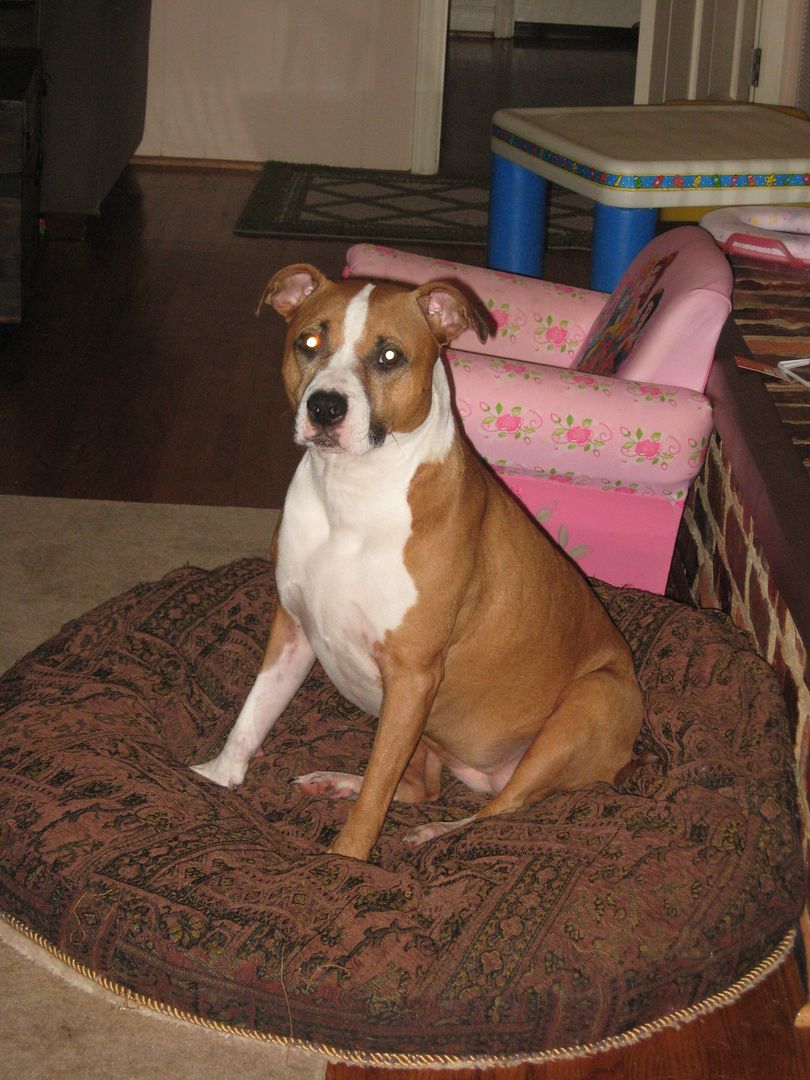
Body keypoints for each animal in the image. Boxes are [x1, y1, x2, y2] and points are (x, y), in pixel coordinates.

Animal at [192, 265, 648, 864]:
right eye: (308, 343)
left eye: (389, 356)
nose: (325, 407)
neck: (351, 498)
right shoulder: (291, 629)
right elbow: (254, 713)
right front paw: (217, 777)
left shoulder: (411, 676)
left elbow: (375, 798)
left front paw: (344, 866)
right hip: (431, 731)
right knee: (421, 787)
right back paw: (337, 782)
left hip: (586, 702)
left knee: (496, 809)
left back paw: (433, 832)